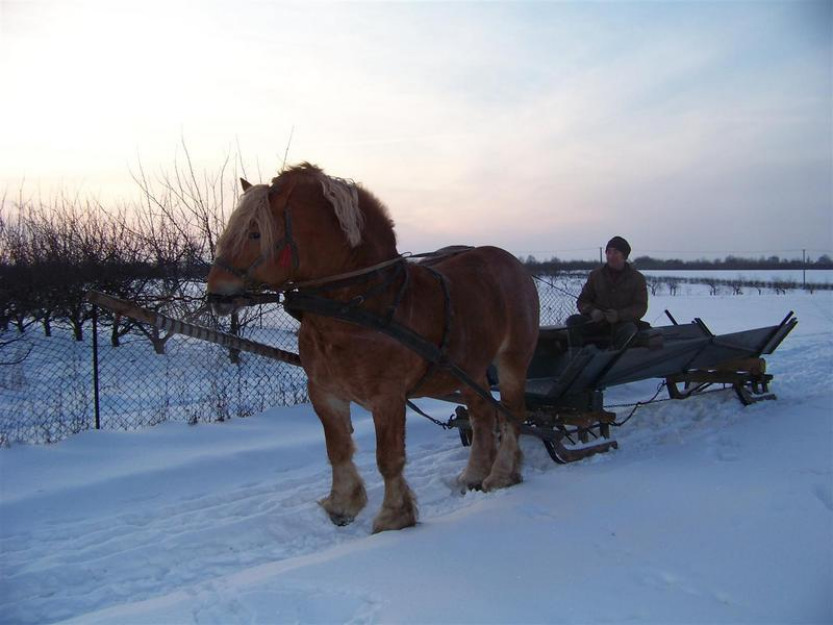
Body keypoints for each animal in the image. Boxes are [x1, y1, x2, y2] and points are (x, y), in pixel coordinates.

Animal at [208, 162, 540, 532]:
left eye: (255, 233)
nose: (216, 294)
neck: (356, 308)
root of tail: (512, 263)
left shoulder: (388, 397)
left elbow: (389, 459)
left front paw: (393, 516)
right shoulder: (324, 392)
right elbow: (338, 449)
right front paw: (342, 505)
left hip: (513, 361)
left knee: (511, 414)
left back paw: (501, 475)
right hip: (470, 368)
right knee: (482, 415)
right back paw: (473, 475)